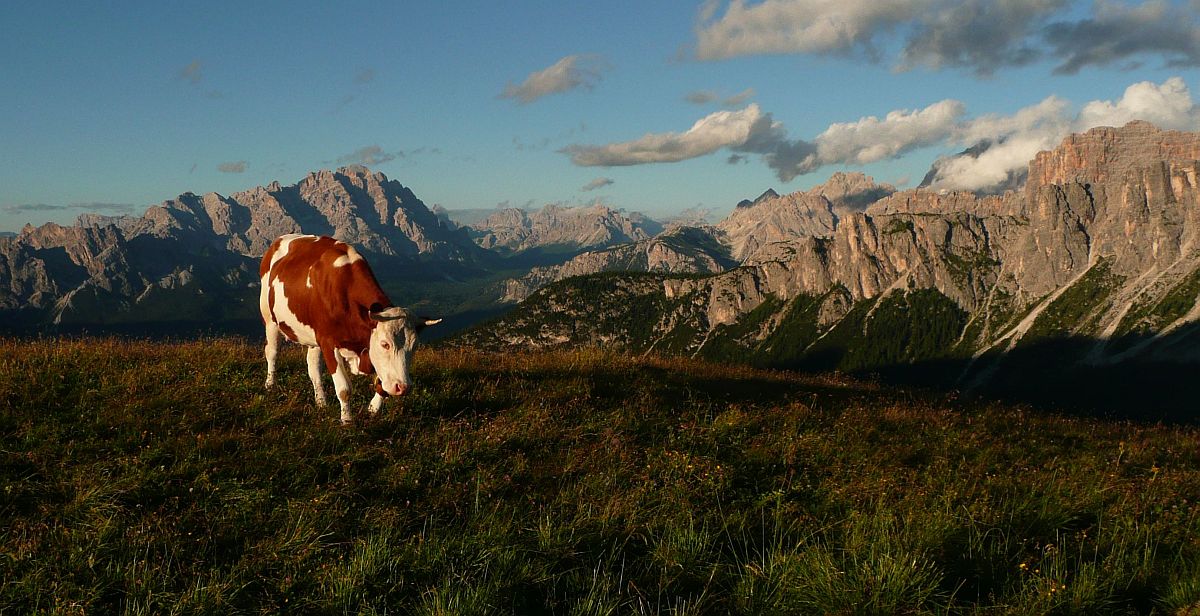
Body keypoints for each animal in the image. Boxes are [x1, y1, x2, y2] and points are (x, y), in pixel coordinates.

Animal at [259, 231, 441, 422]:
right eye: (385, 344)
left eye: (414, 346)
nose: (403, 387)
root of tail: (281, 238)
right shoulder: (328, 342)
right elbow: (344, 389)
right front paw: (347, 421)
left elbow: (382, 386)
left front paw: (372, 410)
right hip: (269, 318)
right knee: (272, 352)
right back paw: (270, 385)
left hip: (312, 336)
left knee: (313, 366)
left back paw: (321, 402)